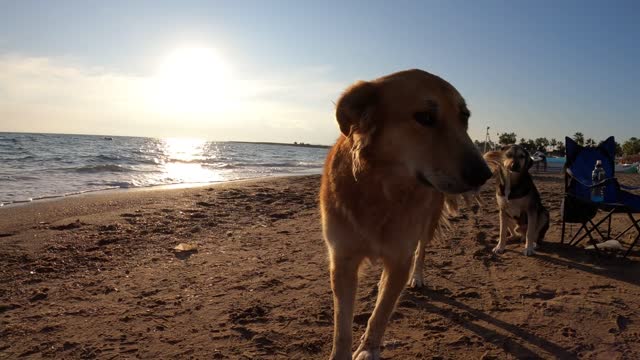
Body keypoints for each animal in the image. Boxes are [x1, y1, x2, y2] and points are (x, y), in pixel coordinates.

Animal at [318, 69, 490, 358]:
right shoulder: (342, 259)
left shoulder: (399, 257)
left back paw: (416, 277)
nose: (484, 175)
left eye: (464, 117)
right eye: (425, 117)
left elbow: (381, 313)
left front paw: (368, 350)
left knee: (420, 253)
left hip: (426, 225)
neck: (382, 190)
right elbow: (342, 327)